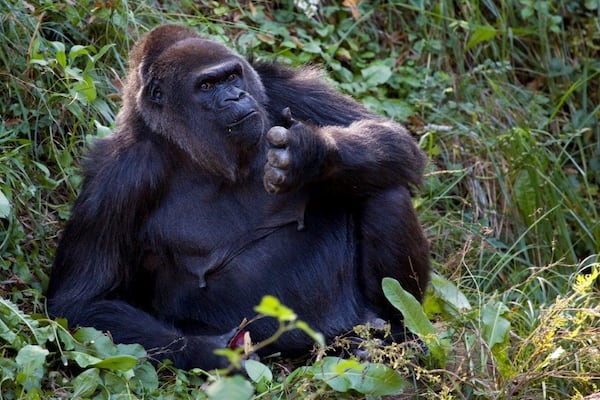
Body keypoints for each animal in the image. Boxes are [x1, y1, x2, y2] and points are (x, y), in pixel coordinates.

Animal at [47, 24, 432, 368]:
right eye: (206, 85)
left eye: (232, 77)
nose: (235, 97)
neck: (185, 146)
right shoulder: (117, 176)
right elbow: (80, 302)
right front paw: (210, 352)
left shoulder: (277, 83)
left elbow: (395, 138)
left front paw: (309, 155)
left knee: (385, 188)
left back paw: (395, 332)